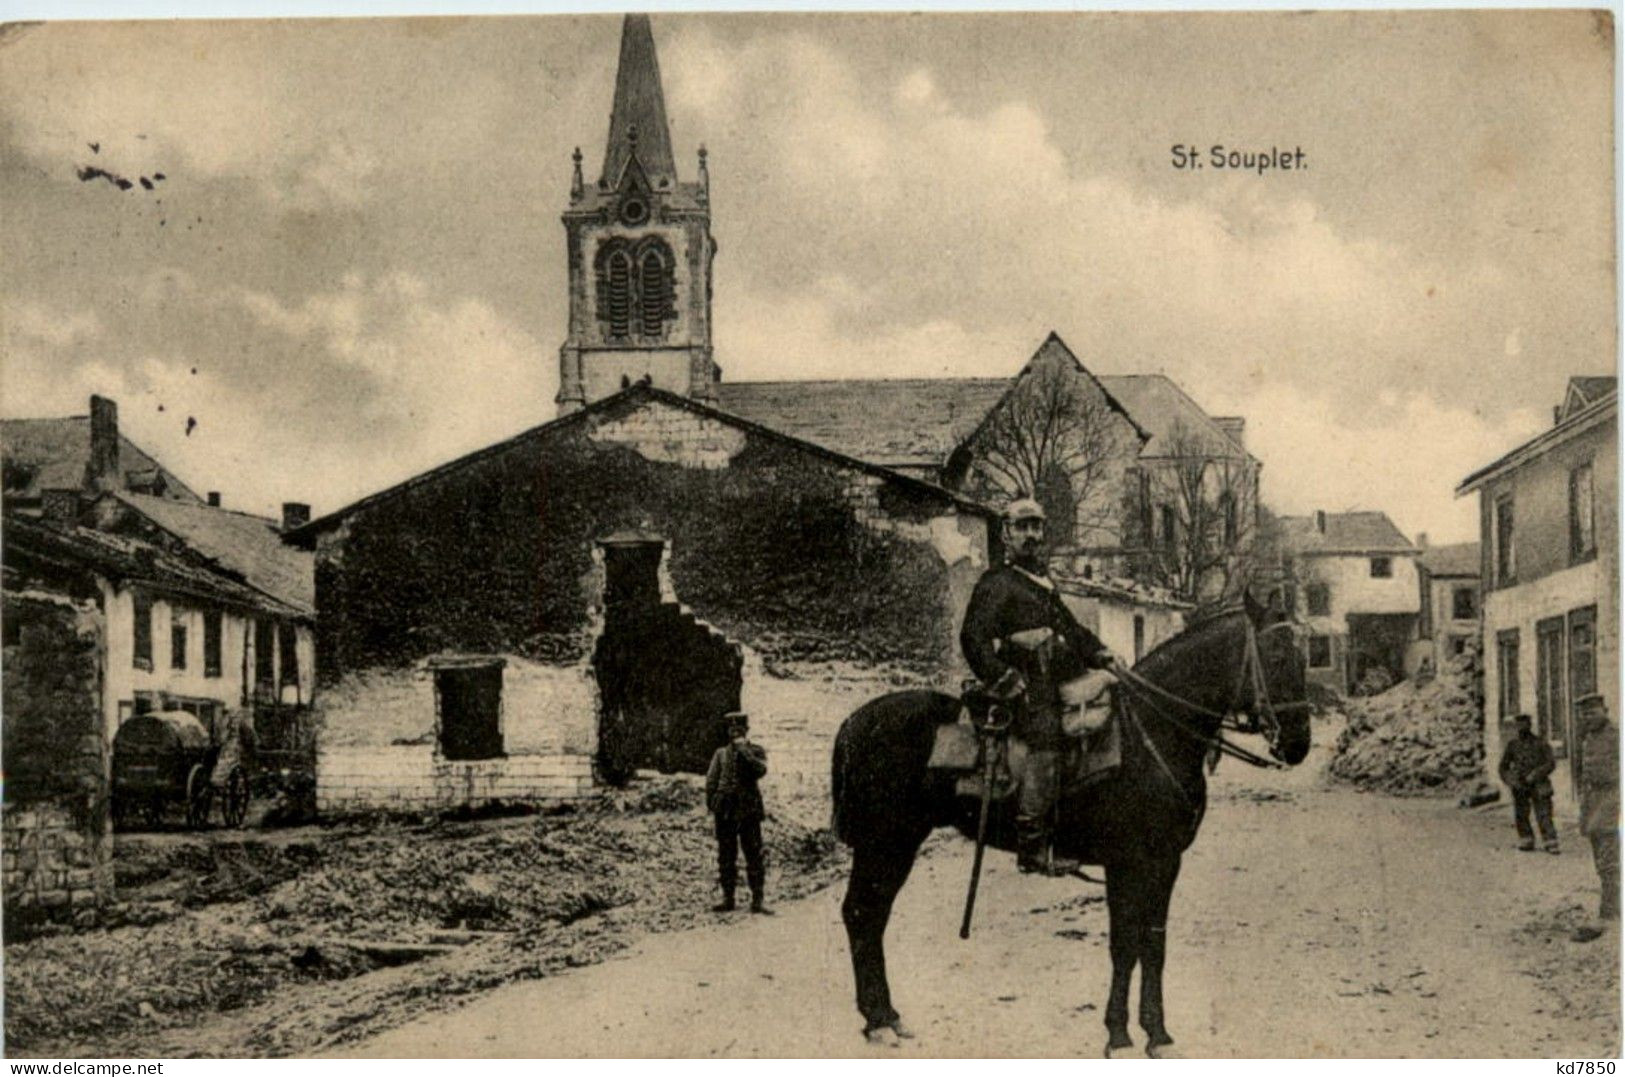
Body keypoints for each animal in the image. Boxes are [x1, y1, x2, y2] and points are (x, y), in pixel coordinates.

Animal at [832, 591, 1313, 1052]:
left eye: (1304, 657)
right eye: (1276, 657)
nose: (1298, 745)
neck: (1152, 733)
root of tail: (856, 721)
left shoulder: (1164, 863)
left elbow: (1153, 944)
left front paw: (1157, 1034)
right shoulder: (1126, 863)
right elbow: (1125, 945)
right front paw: (1118, 1036)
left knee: (871, 916)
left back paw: (885, 1017)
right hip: (886, 843)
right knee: (861, 913)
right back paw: (879, 1022)